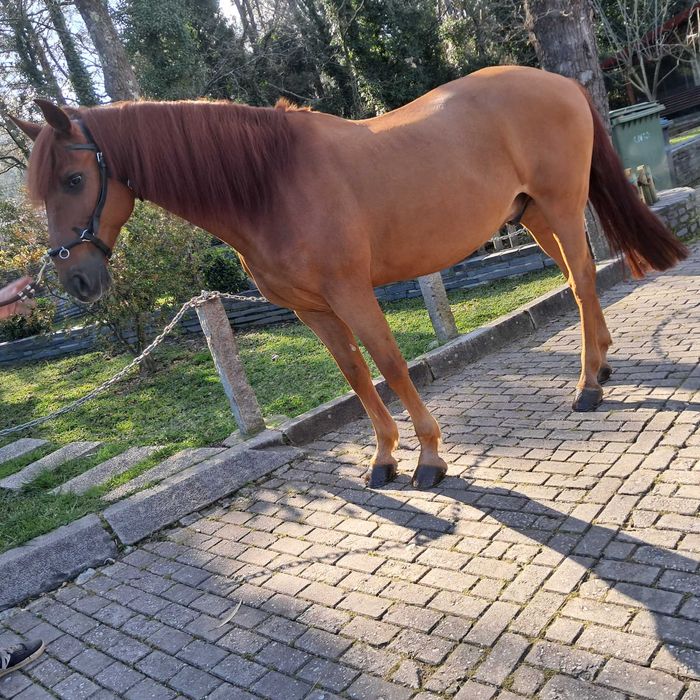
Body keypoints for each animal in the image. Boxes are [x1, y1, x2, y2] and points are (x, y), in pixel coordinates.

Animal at [11, 65, 688, 490]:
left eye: (74, 179)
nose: (76, 282)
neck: (271, 183)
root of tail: (560, 82)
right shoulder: (311, 309)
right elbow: (356, 374)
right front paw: (384, 458)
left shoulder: (351, 291)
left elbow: (390, 362)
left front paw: (429, 457)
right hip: (534, 215)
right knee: (580, 281)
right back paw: (601, 366)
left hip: (562, 206)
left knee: (583, 280)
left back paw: (588, 385)